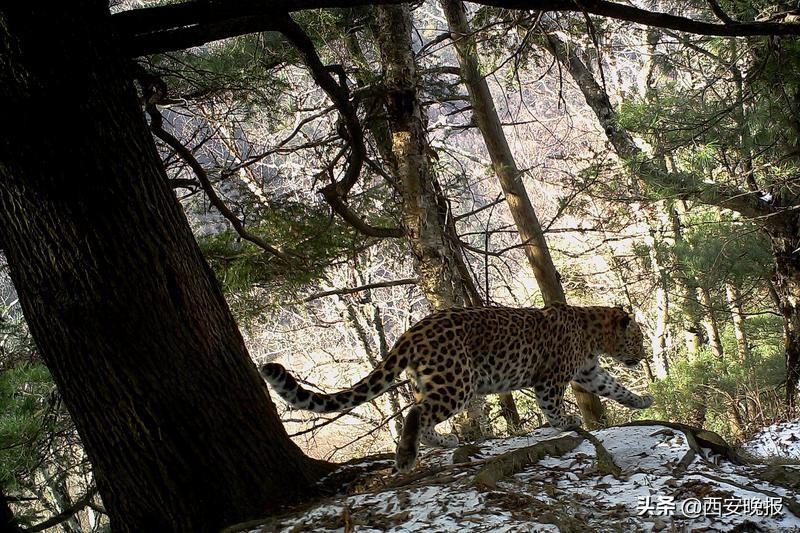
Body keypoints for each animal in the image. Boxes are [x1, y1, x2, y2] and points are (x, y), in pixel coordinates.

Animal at [260, 302, 652, 472]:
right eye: (637, 339)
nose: (644, 354)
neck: (592, 331)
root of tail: (411, 331)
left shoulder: (589, 372)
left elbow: (614, 387)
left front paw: (642, 400)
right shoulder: (550, 378)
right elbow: (553, 406)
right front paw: (567, 423)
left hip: (433, 381)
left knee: (422, 415)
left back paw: (445, 442)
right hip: (458, 382)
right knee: (417, 413)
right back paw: (406, 458)